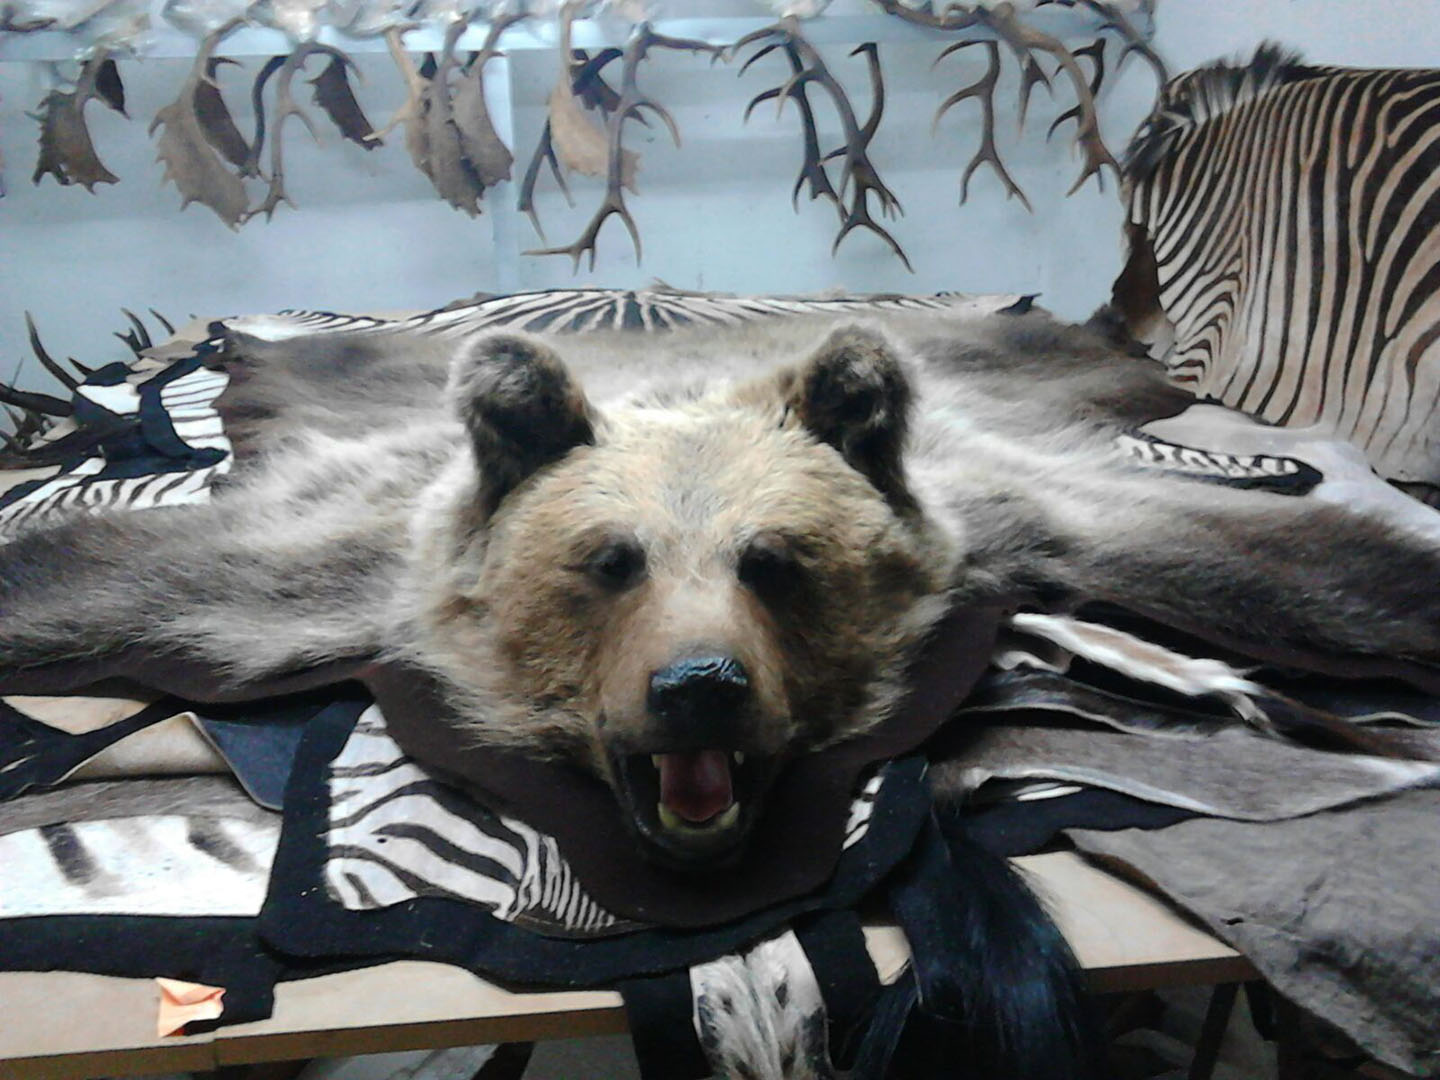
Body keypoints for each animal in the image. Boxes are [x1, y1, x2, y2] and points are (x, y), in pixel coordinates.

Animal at [2, 308, 1440, 873]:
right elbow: (115, 583)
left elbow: (1265, 569)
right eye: (606, 561)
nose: (699, 686)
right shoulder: (333, 575)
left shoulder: (1020, 519)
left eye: (777, 560)